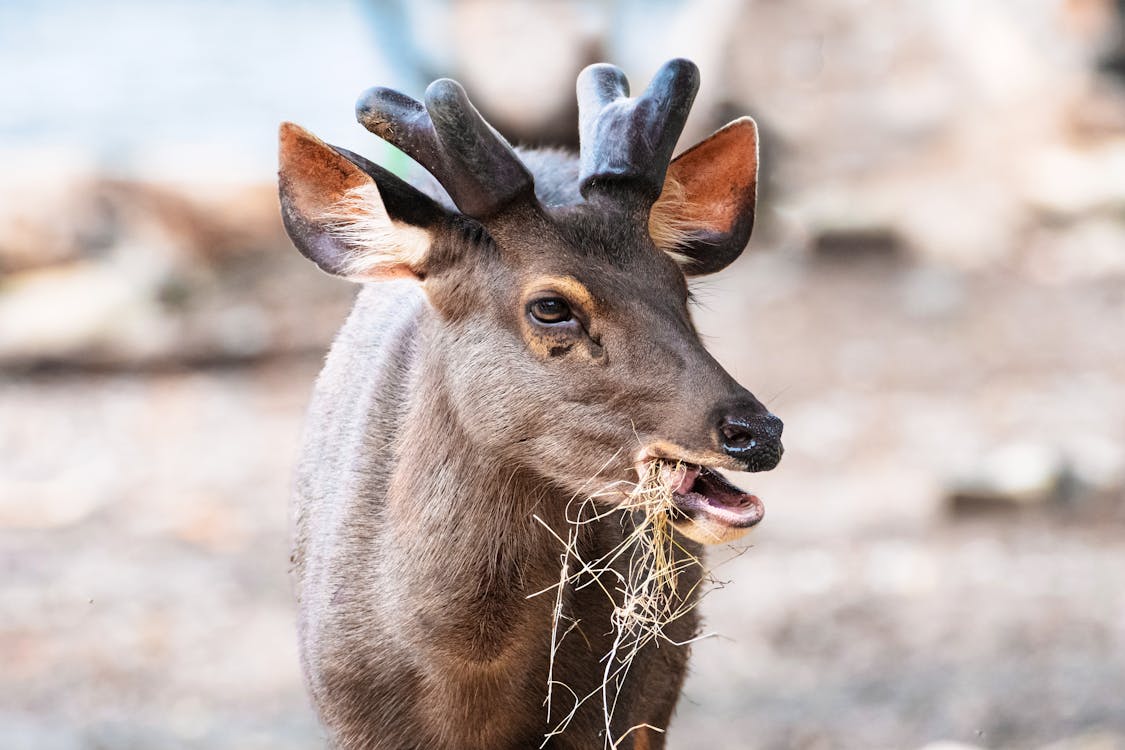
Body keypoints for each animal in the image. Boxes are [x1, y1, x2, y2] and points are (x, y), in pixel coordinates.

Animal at [277, 60, 787, 750]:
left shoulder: (622, 712)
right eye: (551, 306)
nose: (757, 431)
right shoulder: (349, 718)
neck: (471, 689)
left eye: (682, 292)